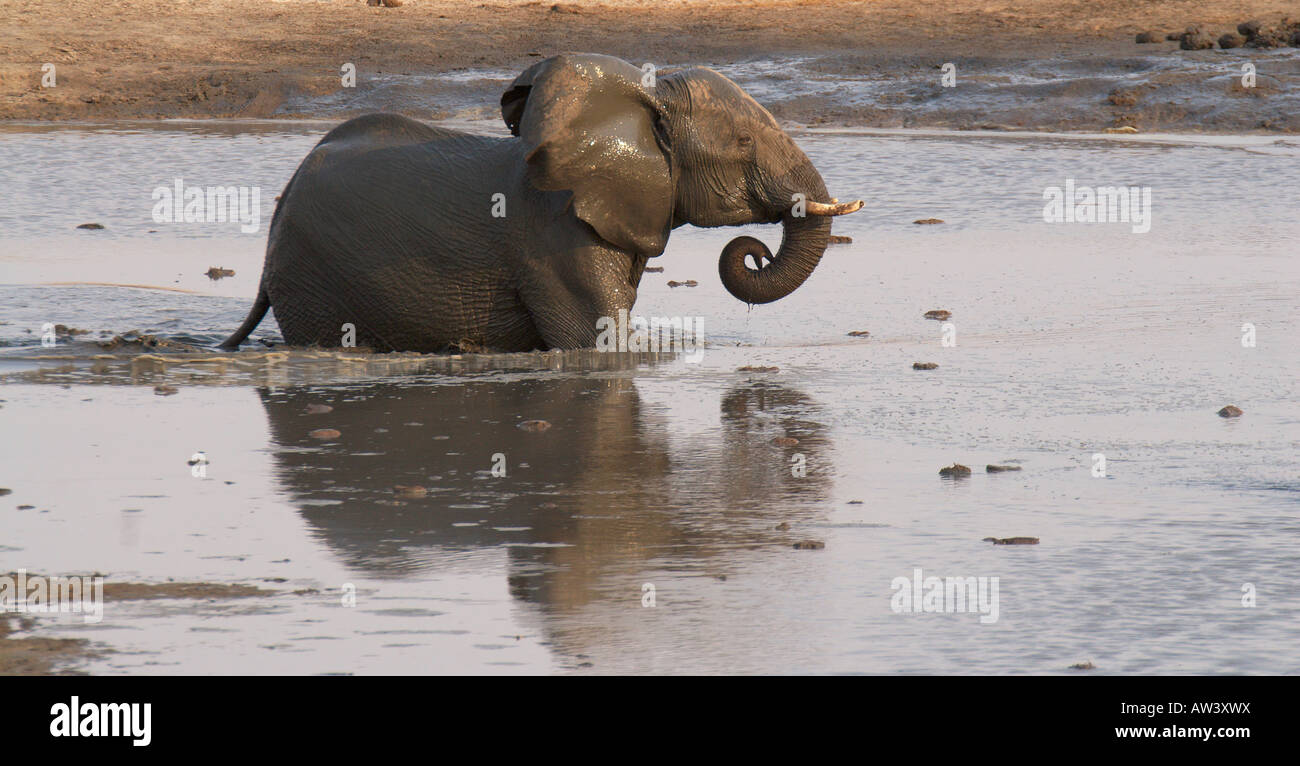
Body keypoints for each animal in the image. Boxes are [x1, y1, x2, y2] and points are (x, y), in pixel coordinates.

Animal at [218, 53, 857, 353]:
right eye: (744, 143)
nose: (752, 251)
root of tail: (283, 201)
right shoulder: (555, 236)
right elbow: (598, 343)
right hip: (314, 278)